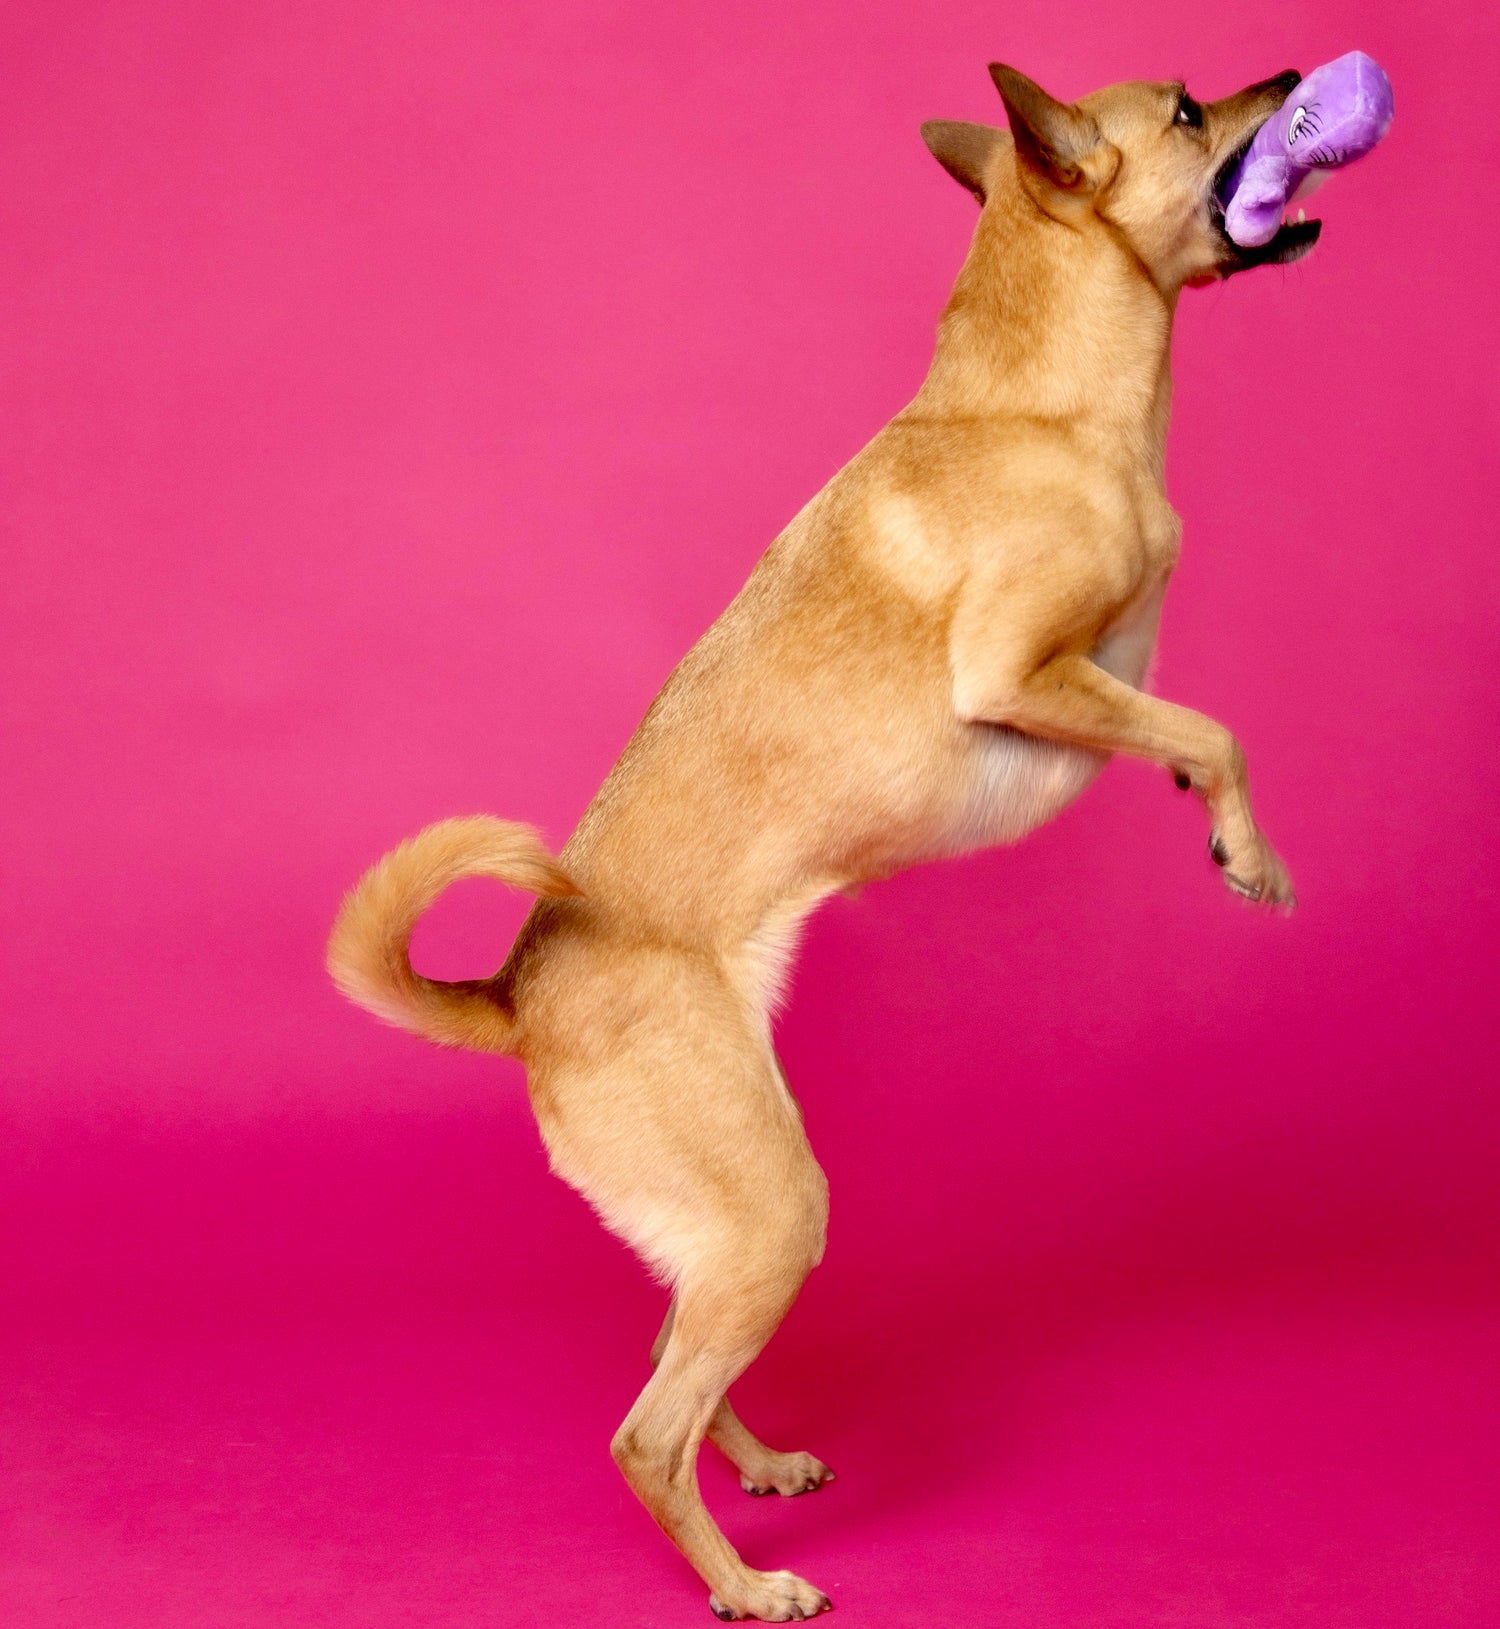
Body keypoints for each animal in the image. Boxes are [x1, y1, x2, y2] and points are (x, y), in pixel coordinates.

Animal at [327, 60, 1309, 1615]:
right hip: (776, 1209)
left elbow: (1174, 712)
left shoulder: (1103, 666)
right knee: (645, 1435)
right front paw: (1250, 856)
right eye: (1189, 113)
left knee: (670, 1362)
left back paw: (763, 1464)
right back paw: (744, 1583)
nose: (1282, 80)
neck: (1041, 403)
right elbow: (1212, 728)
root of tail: (517, 995)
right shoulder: (1020, 673)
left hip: (725, 1230)